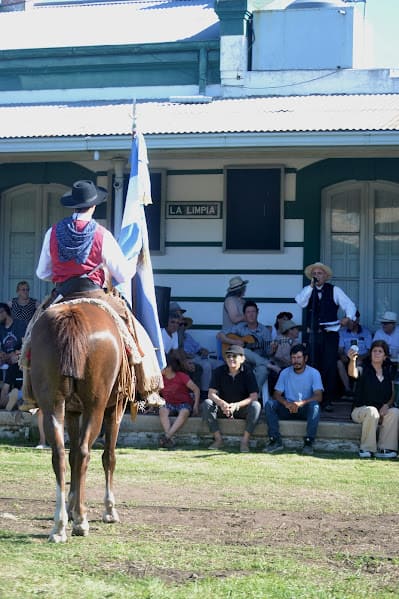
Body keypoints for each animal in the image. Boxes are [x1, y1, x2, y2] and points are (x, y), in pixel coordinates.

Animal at [30, 302, 133, 540]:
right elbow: (108, 457)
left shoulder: (72, 412)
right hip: (95, 406)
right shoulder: (116, 408)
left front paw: (70, 505)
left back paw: (59, 525)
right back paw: (80, 521)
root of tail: (72, 316)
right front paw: (109, 510)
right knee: (86, 452)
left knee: (59, 454)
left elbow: (72, 456)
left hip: (52, 404)